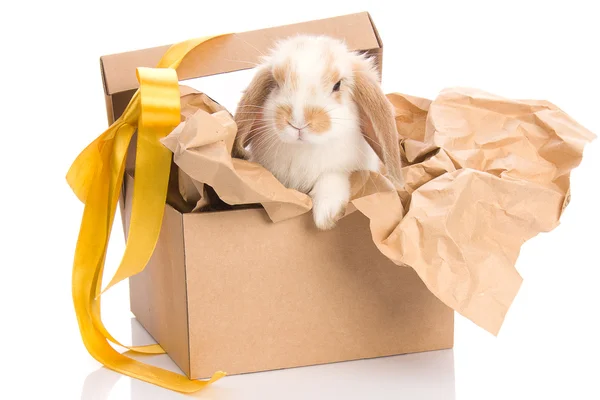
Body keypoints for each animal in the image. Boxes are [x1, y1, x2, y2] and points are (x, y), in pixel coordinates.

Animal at [233, 35, 404, 230]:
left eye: (337, 85)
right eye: (276, 83)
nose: (298, 123)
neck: (304, 148)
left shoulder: (343, 169)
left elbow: (331, 178)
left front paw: (326, 217)